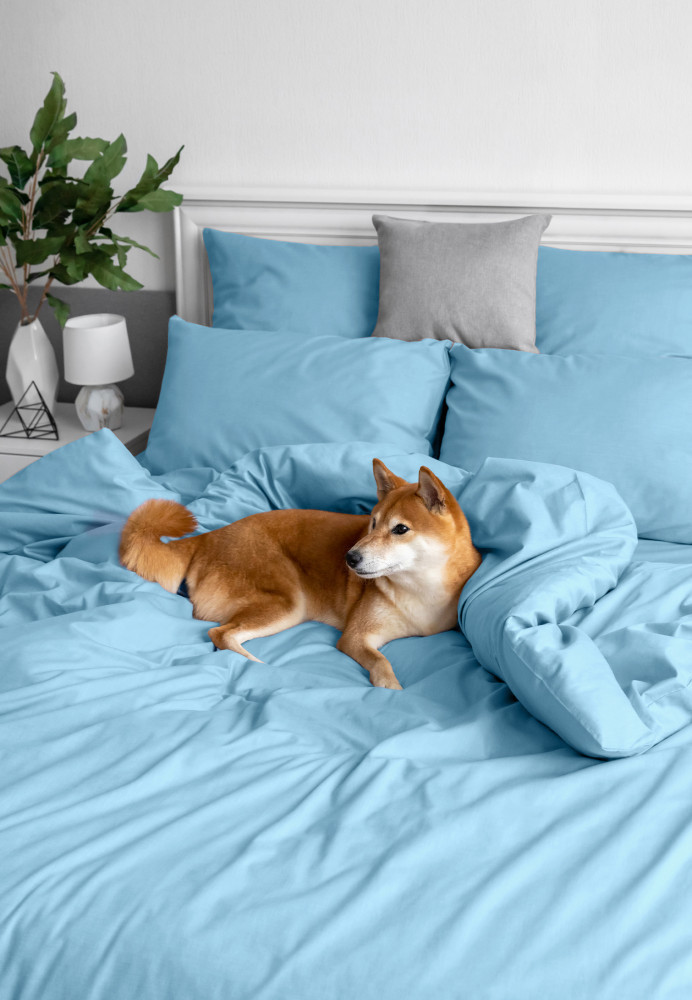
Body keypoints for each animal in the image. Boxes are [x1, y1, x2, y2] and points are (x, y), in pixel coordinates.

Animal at [119, 460, 481, 689]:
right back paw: (256, 665)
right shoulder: (355, 637)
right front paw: (391, 690)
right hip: (290, 604)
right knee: (220, 635)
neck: (420, 589)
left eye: (400, 529)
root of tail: (209, 536)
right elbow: (382, 663)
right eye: (373, 522)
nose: (349, 557)